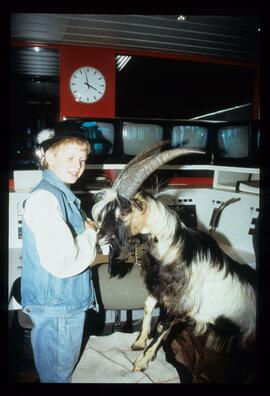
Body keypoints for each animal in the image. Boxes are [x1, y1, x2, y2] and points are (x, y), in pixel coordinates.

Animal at [92, 142, 256, 372]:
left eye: (123, 213)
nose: (98, 238)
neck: (172, 252)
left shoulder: (181, 305)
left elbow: (164, 326)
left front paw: (141, 362)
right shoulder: (159, 290)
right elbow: (147, 307)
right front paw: (139, 342)